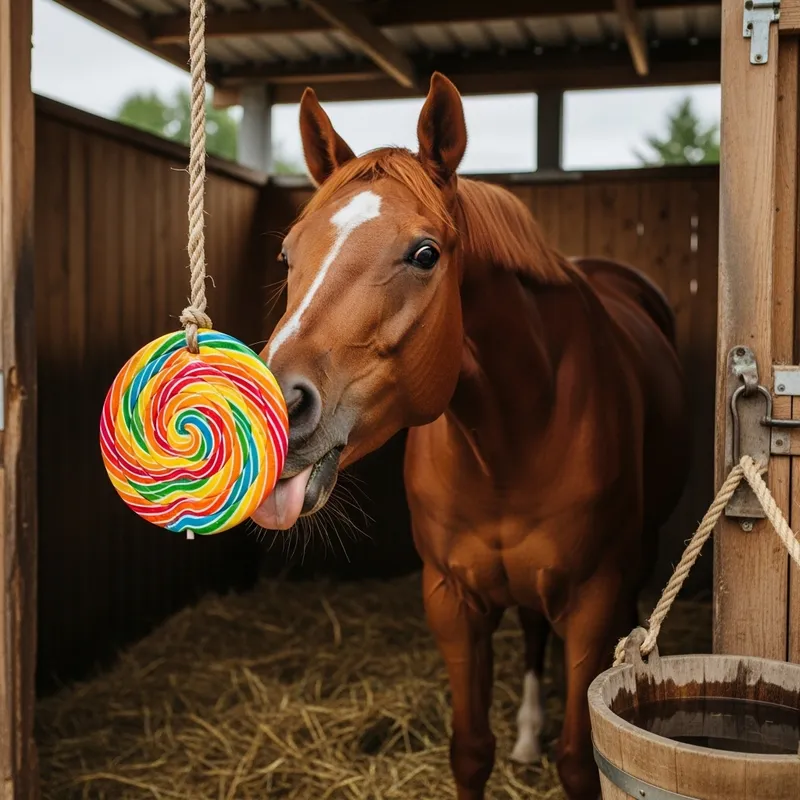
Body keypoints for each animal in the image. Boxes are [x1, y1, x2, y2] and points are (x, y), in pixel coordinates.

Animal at [252, 72, 690, 800]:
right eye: (288, 254)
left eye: (425, 254)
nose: (271, 408)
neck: (510, 440)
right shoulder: (451, 601)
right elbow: (470, 750)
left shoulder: (592, 600)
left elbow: (581, 759)